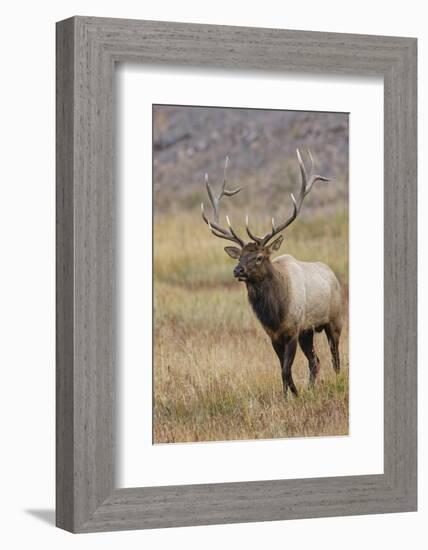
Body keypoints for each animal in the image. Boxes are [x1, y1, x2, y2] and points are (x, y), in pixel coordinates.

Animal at [201, 151, 344, 398]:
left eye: (259, 257)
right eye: (239, 257)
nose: (237, 270)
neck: (275, 313)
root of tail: (332, 274)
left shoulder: (293, 330)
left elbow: (286, 370)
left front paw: (294, 397)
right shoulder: (274, 335)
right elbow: (282, 371)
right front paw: (288, 397)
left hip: (334, 320)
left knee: (335, 357)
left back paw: (336, 381)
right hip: (308, 331)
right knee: (315, 361)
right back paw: (312, 388)